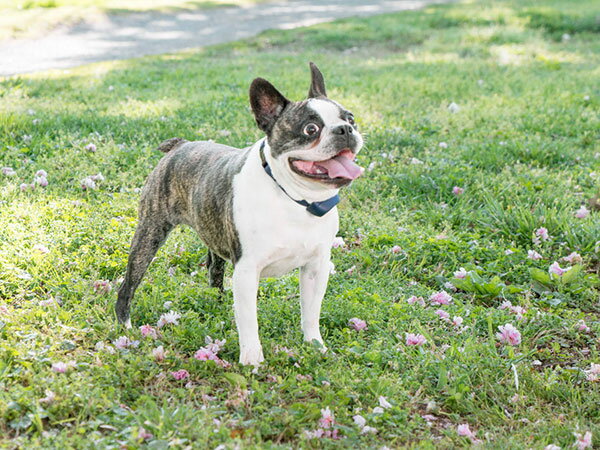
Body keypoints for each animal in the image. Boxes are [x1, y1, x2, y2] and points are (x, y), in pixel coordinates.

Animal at [115, 62, 364, 366]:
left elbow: (310, 311)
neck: (295, 198)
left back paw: (218, 301)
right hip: (149, 233)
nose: (345, 129)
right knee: (129, 283)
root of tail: (181, 144)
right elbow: (248, 321)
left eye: (351, 118)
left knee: (214, 267)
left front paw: (315, 346)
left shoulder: (316, 267)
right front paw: (252, 361)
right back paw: (125, 325)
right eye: (311, 129)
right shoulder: (247, 271)